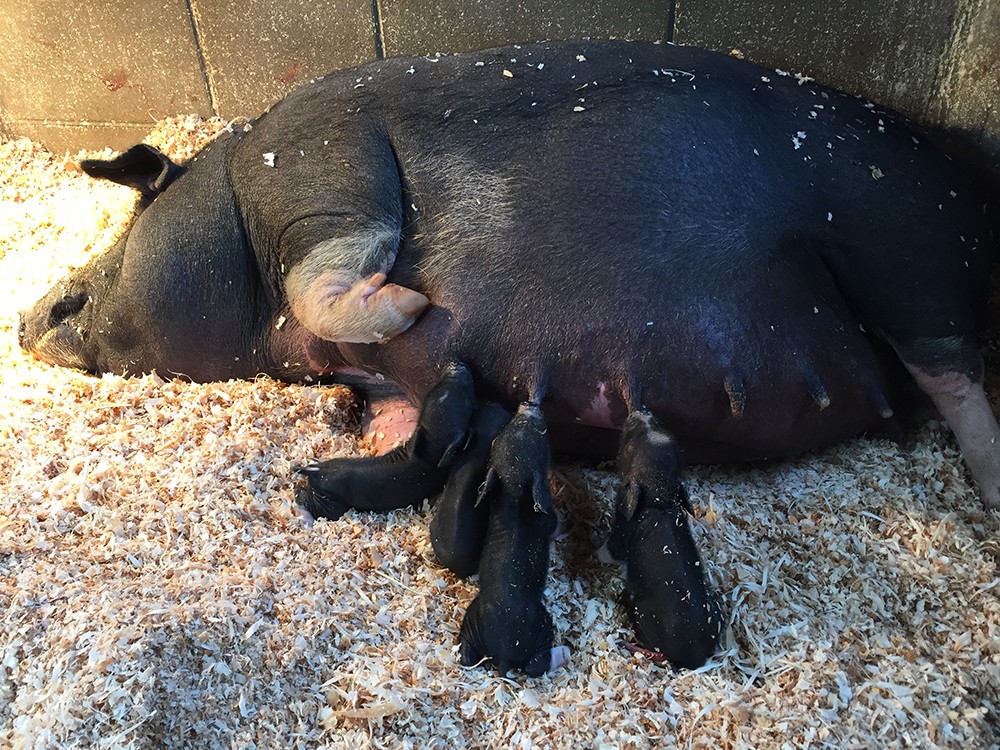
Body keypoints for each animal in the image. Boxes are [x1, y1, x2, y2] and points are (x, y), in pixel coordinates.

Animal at [15, 39, 1000, 676]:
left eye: (131, 219)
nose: (25, 318)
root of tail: (965, 181)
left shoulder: (324, 173)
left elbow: (335, 267)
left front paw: (414, 306)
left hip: (901, 248)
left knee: (954, 371)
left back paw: (989, 493)